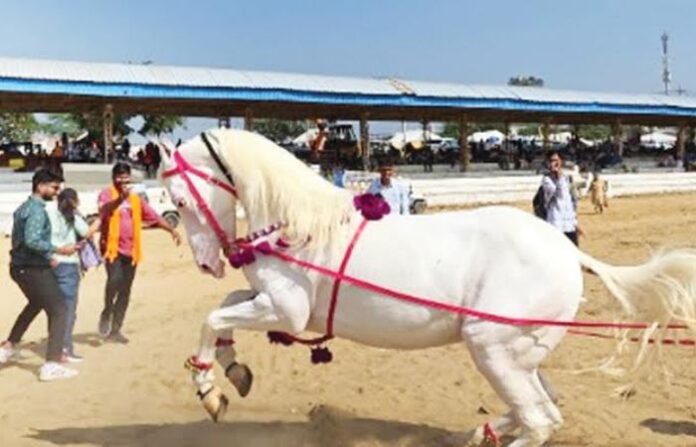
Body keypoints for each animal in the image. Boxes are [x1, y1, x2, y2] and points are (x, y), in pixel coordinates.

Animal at [158, 129, 696, 447]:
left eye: (179, 199)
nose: (207, 263)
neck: (302, 227)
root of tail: (568, 252)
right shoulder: (277, 306)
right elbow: (225, 307)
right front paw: (233, 372)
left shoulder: (286, 310)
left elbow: (211, 316)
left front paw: (209, 390)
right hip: (519, 352)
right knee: (544, 403)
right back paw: (483, 430)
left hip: (491, 347)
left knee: (542, 419)